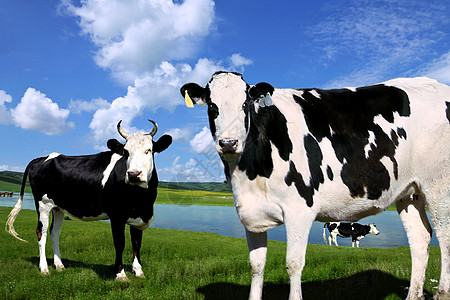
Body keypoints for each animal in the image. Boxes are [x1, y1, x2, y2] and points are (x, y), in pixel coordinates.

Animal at [7, 120, 172, 280]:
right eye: (126, 152)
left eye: (149, 150)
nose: (133, 174)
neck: (141, 200)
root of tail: (43, 158)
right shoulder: (116, 215)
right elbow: (120, 243)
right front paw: (120, 274)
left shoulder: (139, 217)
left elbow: (137, 243)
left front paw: (138, 271)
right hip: (42, 204)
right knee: (42, 232)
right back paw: (44, 268)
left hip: (58, 207)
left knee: (54, 232)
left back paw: (59, 265)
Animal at [181, 72, 450, 300]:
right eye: (212, 106)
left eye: (245, 104)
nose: (228, 143)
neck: (250, 171)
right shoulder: (252, 214)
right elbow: (256, 265)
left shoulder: (300, 209)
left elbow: (293, 264)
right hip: (409, 192)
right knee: (420, 238)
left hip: (439, 185)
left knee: (444, 237)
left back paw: (442, 293)